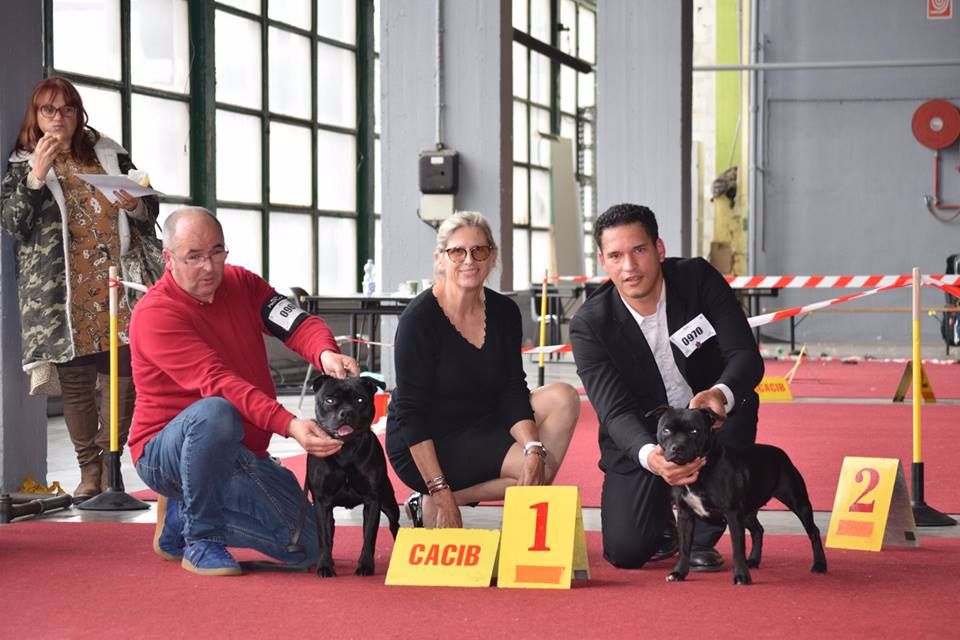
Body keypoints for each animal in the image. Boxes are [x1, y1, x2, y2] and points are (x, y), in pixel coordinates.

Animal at [306, 372, 400, 576]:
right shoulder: (321, 502)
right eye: (330, 400)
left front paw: (365, 565)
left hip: (389, 502)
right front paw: (325, 565)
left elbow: (369, 537)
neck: (346, 449)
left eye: (360, 400)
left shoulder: (372, 500)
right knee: (331, 529)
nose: (346, 412)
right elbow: (323, 538)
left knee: (394, 524)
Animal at [648, 408, 828, 584]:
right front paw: (678, 573)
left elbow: (738, 548)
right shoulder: (685, 515)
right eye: (666, 430)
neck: (701, 471)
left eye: (694, 431)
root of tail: (780, 452)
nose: (676, 447)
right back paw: (754, 560)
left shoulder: (733, 514)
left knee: (813, 531)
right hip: (747, 512)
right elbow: (685, 547)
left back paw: (819, 564)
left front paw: (741, 576)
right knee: (758, 530)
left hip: (797, 501)